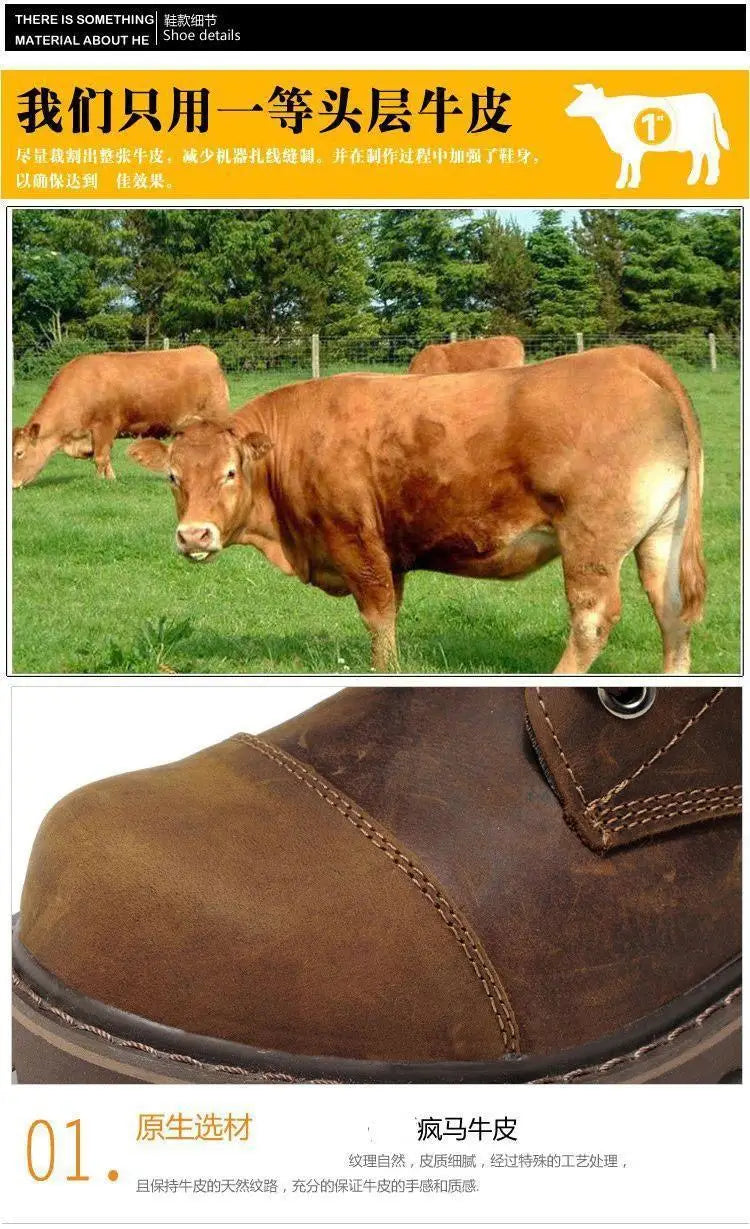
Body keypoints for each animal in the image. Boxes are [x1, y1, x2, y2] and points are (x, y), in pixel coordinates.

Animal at [12, 346, 229, 488]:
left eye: (19, 453)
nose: (12, 484)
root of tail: (206, 352)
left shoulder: (104, 426)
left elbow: (100, 458)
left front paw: (99, 482)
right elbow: (106, 458)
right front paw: (112, 479)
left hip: (216, 417)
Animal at [129, 346, 705, 675]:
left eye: (230, 472)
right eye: (173, 477)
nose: (195, 536)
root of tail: (625, 357)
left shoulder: (356, 541)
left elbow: (378, 617)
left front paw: (383, 671)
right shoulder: (390, 552)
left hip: (590, 540)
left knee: (592, 619)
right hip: (661, 536)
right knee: (672, 611)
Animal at [565, 86, 730, 189]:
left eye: (584, 98)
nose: (566, 110)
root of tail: (707, 97)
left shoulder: (633, 148)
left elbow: (633, 164)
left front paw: (632, 183)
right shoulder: (627, 149)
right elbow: (627, 164)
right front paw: (623, 183)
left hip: (705, 139)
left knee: (714, 153)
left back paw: (711, 179)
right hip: (696, 142)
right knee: (699, 155)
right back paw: (693, 179)